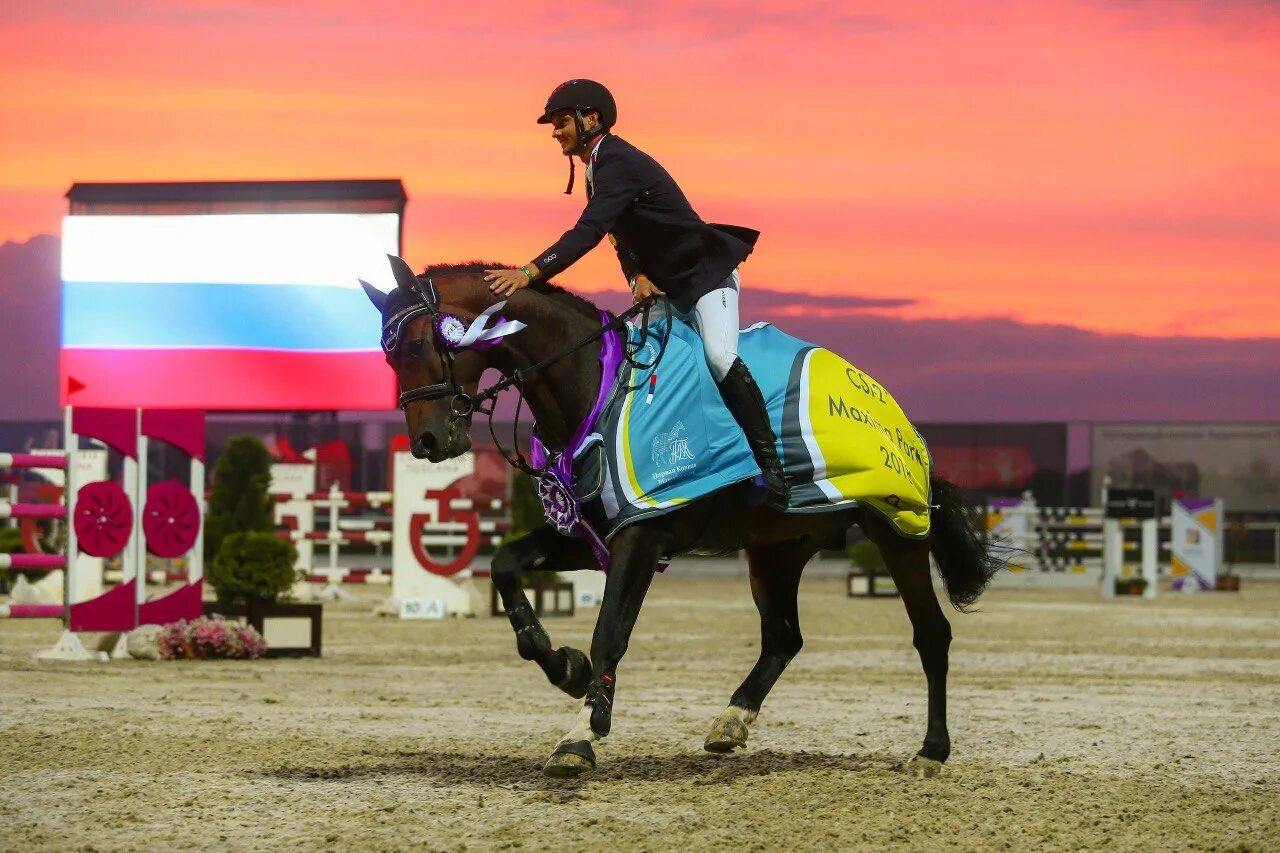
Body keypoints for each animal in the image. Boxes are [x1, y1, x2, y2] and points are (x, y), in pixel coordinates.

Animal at [360, 253, 998, 778]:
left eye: (414, 346)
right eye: (388, 355)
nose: (427, 442)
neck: (594, 384)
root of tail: (896, 415)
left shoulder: (641, 535)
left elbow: (610, 632)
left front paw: (580, 734)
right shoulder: (593, 534)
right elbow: (505, 563)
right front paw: (562, 666)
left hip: (896, 533)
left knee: (931, 634)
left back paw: (930, 752)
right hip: (776, 549)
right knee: (783, 637)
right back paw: (731, 723)